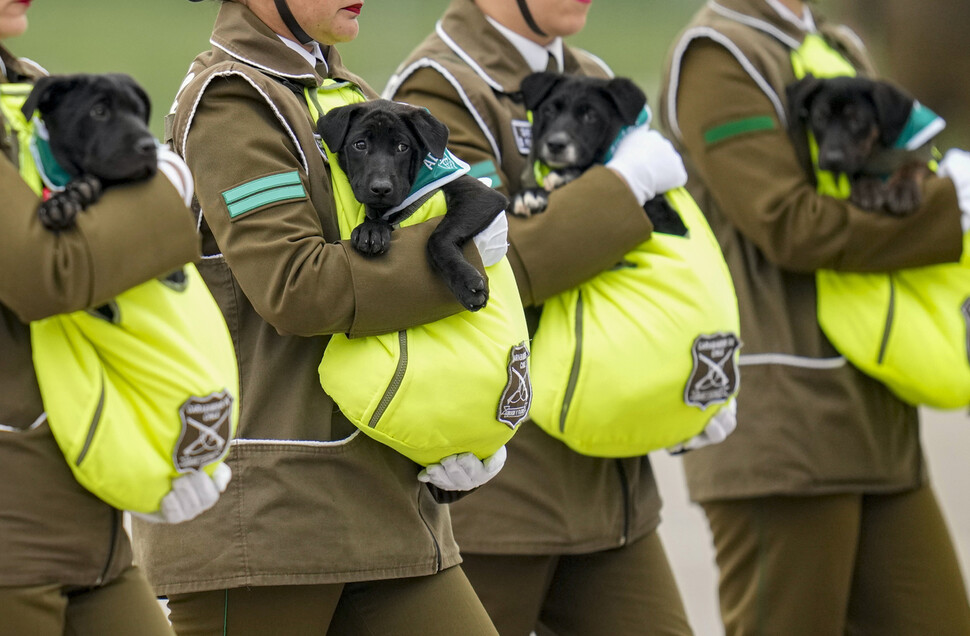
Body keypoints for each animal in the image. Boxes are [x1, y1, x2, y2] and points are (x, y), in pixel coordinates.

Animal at [320, 99, 516, 314]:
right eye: (360, 144)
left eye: (402, 147)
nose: (381, 188)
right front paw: (372, 230)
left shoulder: (481, 195)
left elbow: (437, 238)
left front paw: (466, 282)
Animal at [516, 72, 680, 236]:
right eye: (549, 110)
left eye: (590, 115)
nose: (556, 145)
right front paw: (530, 194)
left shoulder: (666, 220)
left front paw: (565, 176)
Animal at [788, 75, 932, 216]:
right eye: (820, 118)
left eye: (856, 120)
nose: (833, 160)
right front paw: (866, 186)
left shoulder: (928, 157)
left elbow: (914, 164)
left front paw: (904, 188)